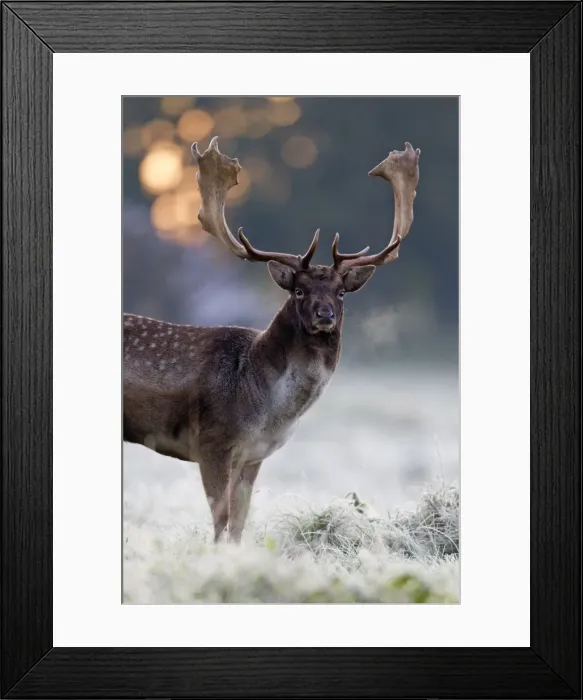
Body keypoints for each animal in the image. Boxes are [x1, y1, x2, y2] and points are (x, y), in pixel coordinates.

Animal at [124, 136, 420, 543]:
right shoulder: (212, 442)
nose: (324, 315)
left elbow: (239, 522)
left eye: (341, 292)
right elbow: (221, 519)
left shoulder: (254, 455)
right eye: (298, 290)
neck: (268, 410)